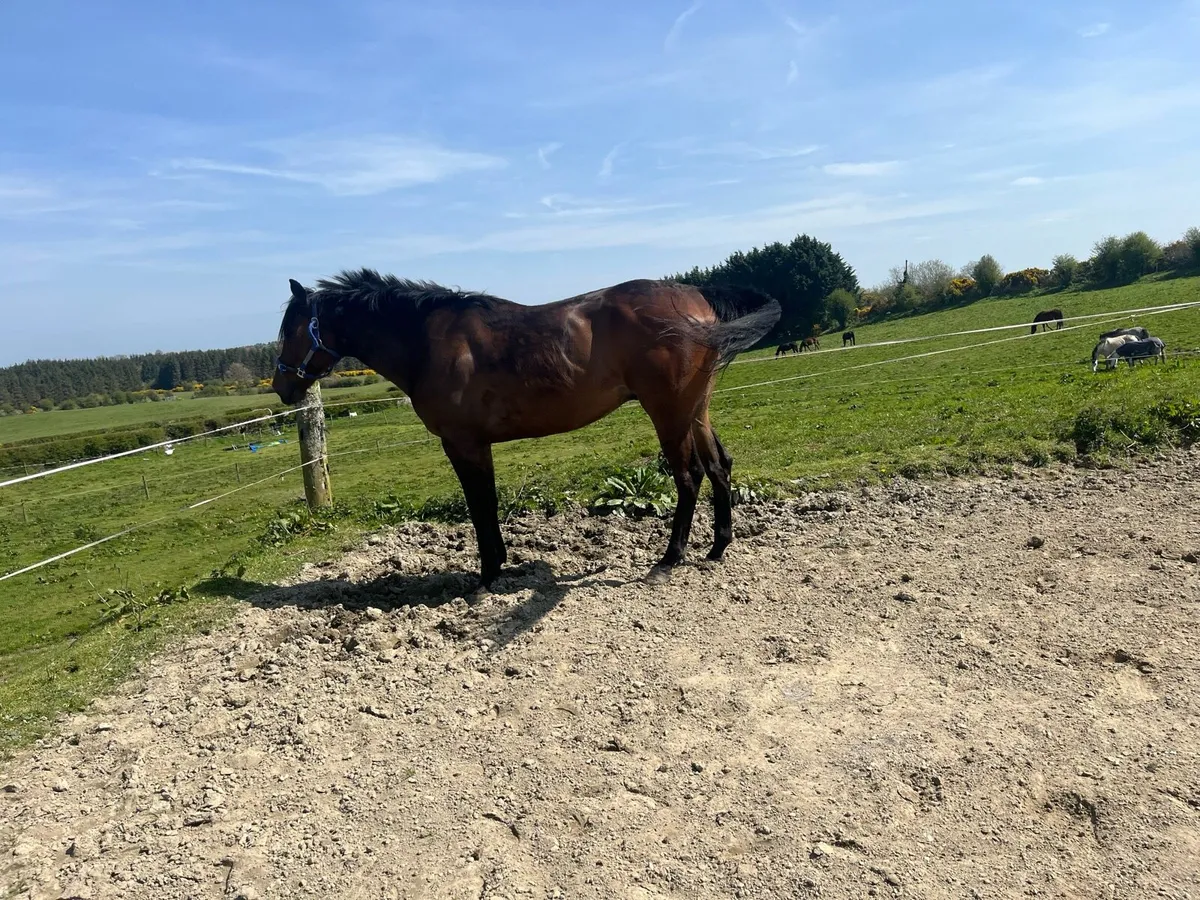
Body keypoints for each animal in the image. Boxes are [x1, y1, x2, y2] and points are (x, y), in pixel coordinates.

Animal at [272, 269, 781, 587]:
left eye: (290, 330)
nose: (281, 387)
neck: (427, 343)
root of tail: (696, 299)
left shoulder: (463, 443)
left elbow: (480, 505)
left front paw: (488, 574)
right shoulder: (477, 444)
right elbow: (488, 503)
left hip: (669, 412)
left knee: (689, 476)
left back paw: (670, 559)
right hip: (696, 409)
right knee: (719, 466)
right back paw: (717, 547)